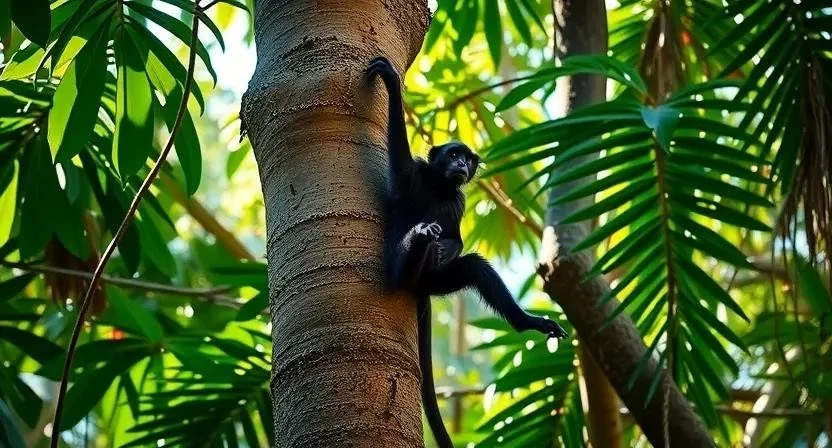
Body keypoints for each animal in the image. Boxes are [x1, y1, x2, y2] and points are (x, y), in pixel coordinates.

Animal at [364, 56, 568, 448]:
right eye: (454, 154)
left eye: (467, 160)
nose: (462, 165)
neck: (440, 187)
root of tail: (422, 287)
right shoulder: (414, 174)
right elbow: (400, 163)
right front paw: (392, 85)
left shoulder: (458, 200)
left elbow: (457, 240)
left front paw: (444, 246)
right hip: (402, 271)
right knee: (404, 270)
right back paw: (419, 243)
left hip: (441, 282)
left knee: (474, 266)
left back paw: (526, 322)